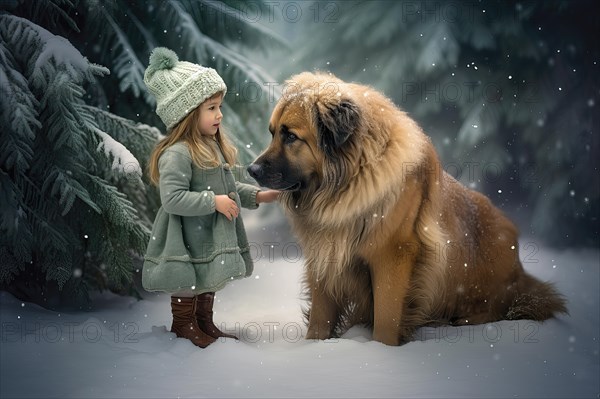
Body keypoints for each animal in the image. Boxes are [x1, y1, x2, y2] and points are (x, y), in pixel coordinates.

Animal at [247, 72, 568, 346]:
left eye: (291, 136)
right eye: (272, 133)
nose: (251, 170)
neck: (350, 181)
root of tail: (521, 273)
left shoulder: (393, 255)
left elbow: (387, 316)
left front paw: (382, 352)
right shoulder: (324, 253)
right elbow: (320, 316)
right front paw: (314, 348)